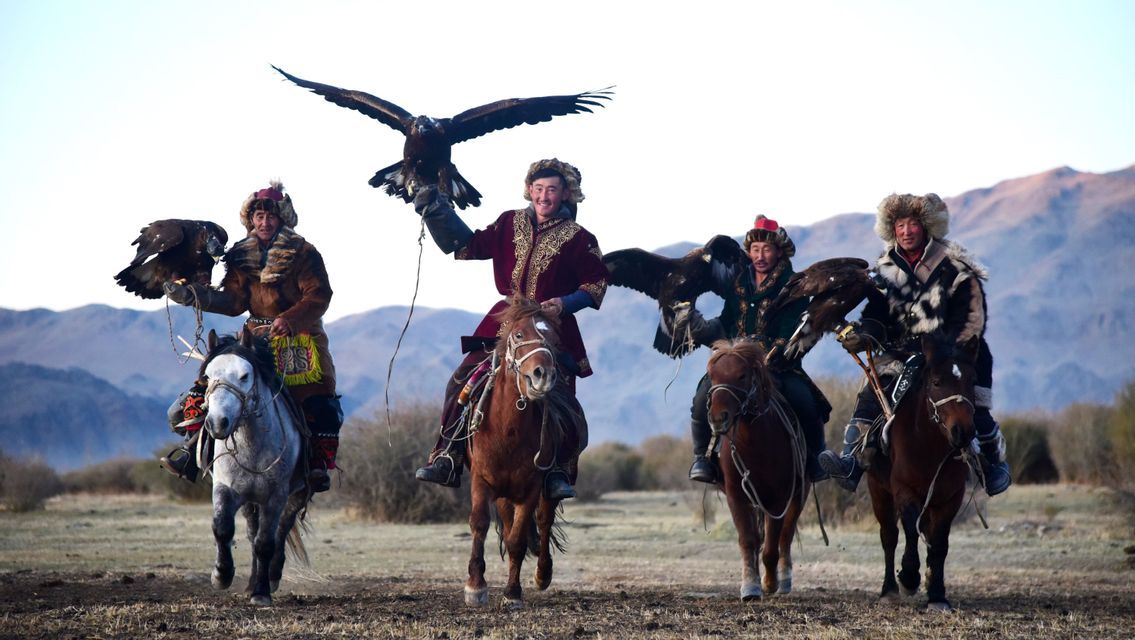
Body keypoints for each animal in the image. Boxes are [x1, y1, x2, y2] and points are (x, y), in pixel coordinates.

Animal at [200, 329, 310, 606]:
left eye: (244, 375)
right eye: (208, 376)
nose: (217, 423)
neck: (253, 447)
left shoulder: (275, 496)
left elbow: (266, 543)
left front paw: (261, 593)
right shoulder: (224, 487)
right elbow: (223, 528)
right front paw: (221, 575)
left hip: (297, 493)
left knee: (280, 531)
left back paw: (271, 576)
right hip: (250, 500)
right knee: (251, 533)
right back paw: (250, 582)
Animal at [464, 297, 575, 609]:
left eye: (554, 340)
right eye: (518, 334)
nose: (542, 376)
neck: (507, 430)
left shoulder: (531, 487)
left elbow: (518, 540)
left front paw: (512, 593)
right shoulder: (481, 479)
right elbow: (479, 523)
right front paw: (475, 586)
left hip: (549, 486)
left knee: (544, 521)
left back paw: (542, 574)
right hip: (503, 492)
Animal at [706, 339, 809, 601]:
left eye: (742, 375)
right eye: (712, 376)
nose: (718, 419)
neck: (754, 443)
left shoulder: (779, 498)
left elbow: (772, 545)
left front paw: (770, 583)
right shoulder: (736, 494)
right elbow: (748, 539)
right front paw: (750, 585)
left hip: (799, 495)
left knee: (786, 536)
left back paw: (784, 580)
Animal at [864, 334, 979, 610]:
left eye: (972, 380)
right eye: (936, 382)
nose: (962, 432)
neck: (928, 446)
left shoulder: (950, 498)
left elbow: (939, 542)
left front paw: (937, 593)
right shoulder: (904, 490)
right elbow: (909, 530)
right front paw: (908, 577)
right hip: (879, 491)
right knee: (889, 536)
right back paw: (889, 589)